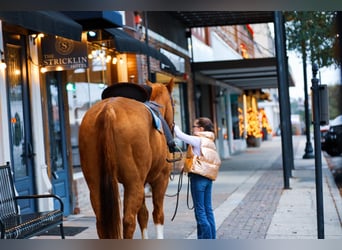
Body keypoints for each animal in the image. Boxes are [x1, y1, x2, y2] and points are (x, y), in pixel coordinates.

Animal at [79, 79, 175, 238]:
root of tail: (108, 110)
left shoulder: (143, 182)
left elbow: (143, 215)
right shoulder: (161, 179)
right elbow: (157, 214)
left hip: (96, 186)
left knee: (101, 223)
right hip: (134, 184)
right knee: (129, 222)